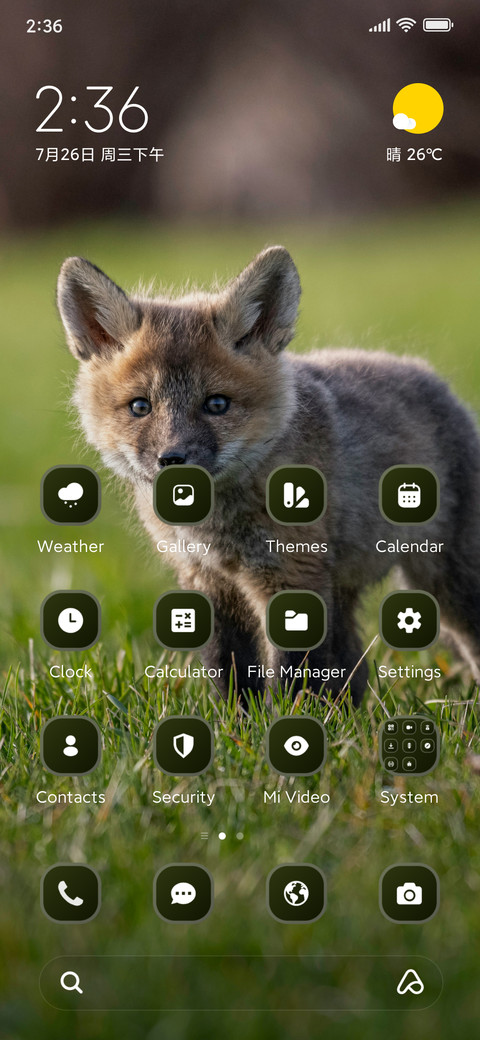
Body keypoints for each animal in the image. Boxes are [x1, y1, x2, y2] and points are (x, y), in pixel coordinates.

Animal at [57, 246, 480, 704]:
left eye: (217, 404)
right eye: (140, 407)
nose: (173, 459)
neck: (218, 528)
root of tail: (429, 375)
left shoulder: (291, 573)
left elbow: (293, 672)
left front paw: (291, 718)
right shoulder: (207, 581)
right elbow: (229, 669)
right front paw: (236, 719)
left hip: (448, 583)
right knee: (353, 669)